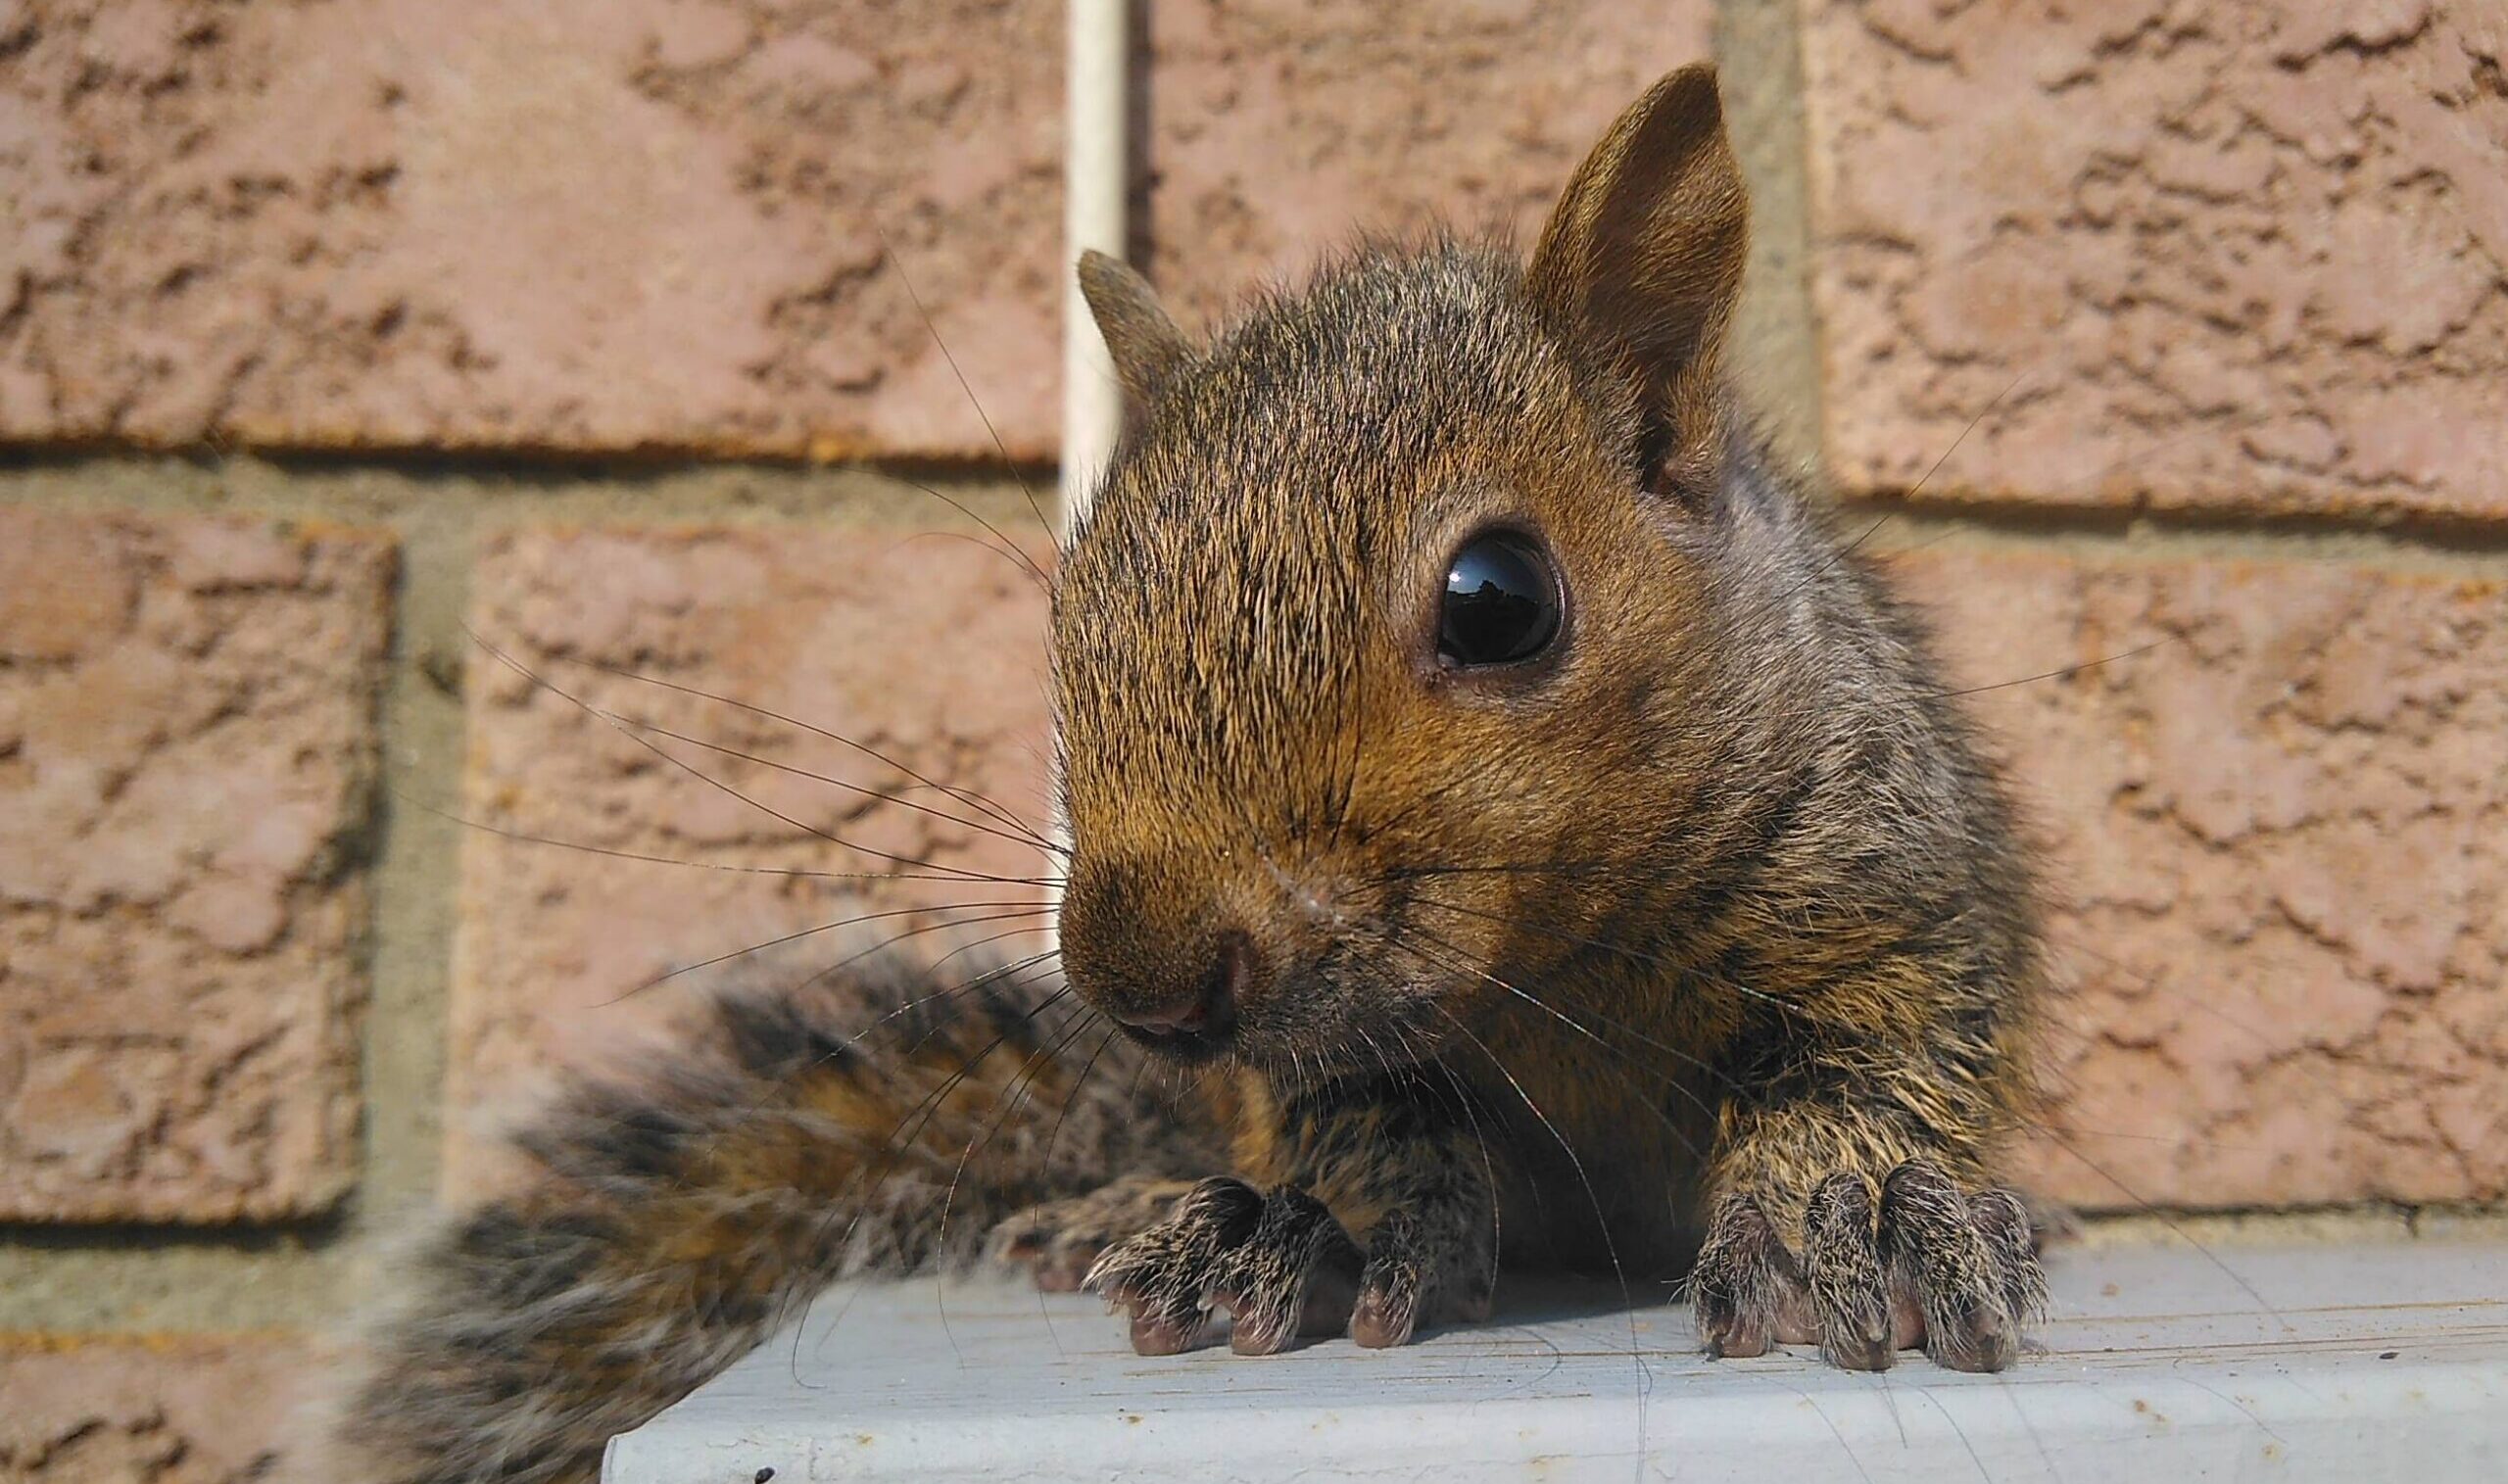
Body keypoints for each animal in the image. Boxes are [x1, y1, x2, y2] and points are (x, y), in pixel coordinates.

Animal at [319, 63, 2050, 1484]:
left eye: (1500, 599)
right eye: (1072, 608)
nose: (1138, 983)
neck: (1559, 964)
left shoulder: (1885, 879)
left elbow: (1875, 1058)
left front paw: (1853, 1210)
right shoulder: (1330, 1052)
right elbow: (1357, 1115)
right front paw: (1321, 1228)